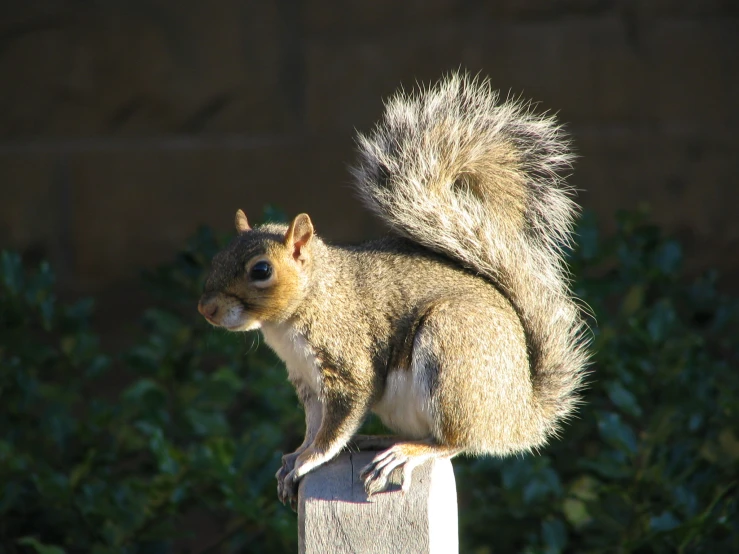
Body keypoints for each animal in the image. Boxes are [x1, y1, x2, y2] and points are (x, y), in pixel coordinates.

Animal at [195, 73, 588, 508]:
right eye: (216, 259)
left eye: (261, 270)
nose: (206, 309)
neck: (307, 303)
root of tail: (519, 417)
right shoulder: (307, 380)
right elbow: (314, 425)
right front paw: (296, 455)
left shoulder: (346, 363)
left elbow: (334, 427)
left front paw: (309, 460)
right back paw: (377, 440)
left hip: (452, 355)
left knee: (454, 441)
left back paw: (405, 453)